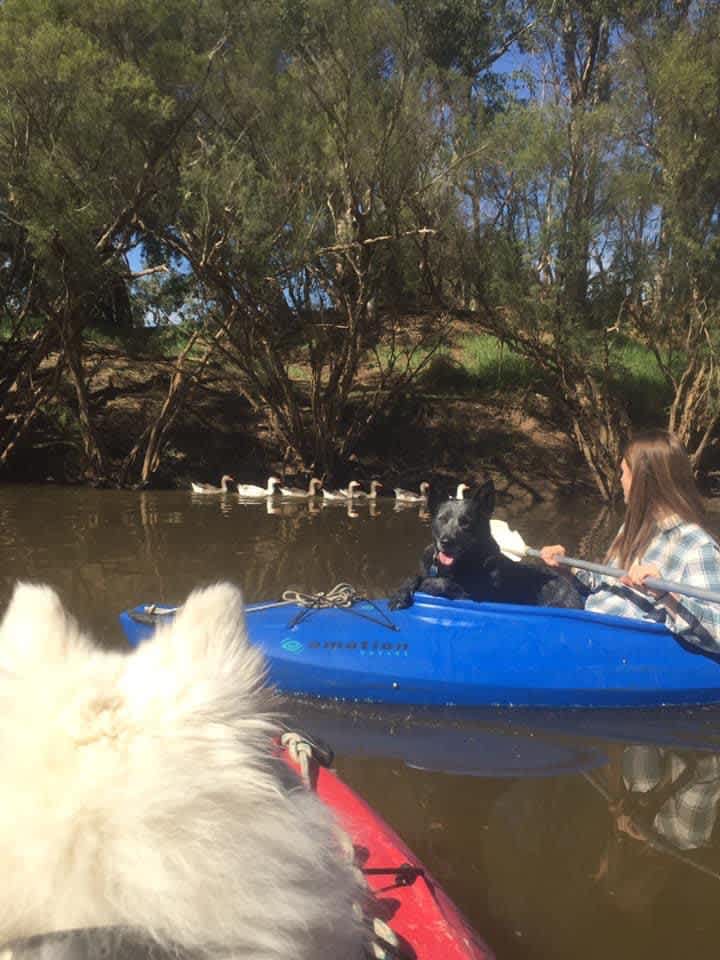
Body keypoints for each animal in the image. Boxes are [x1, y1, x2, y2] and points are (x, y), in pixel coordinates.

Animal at [390, 484, 588, 612]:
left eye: (466, 523)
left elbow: (445, 584)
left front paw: (428, 584)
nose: (446, 542)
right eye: (442, 519)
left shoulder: (475, 596)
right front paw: (400, 594)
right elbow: (413, 576)